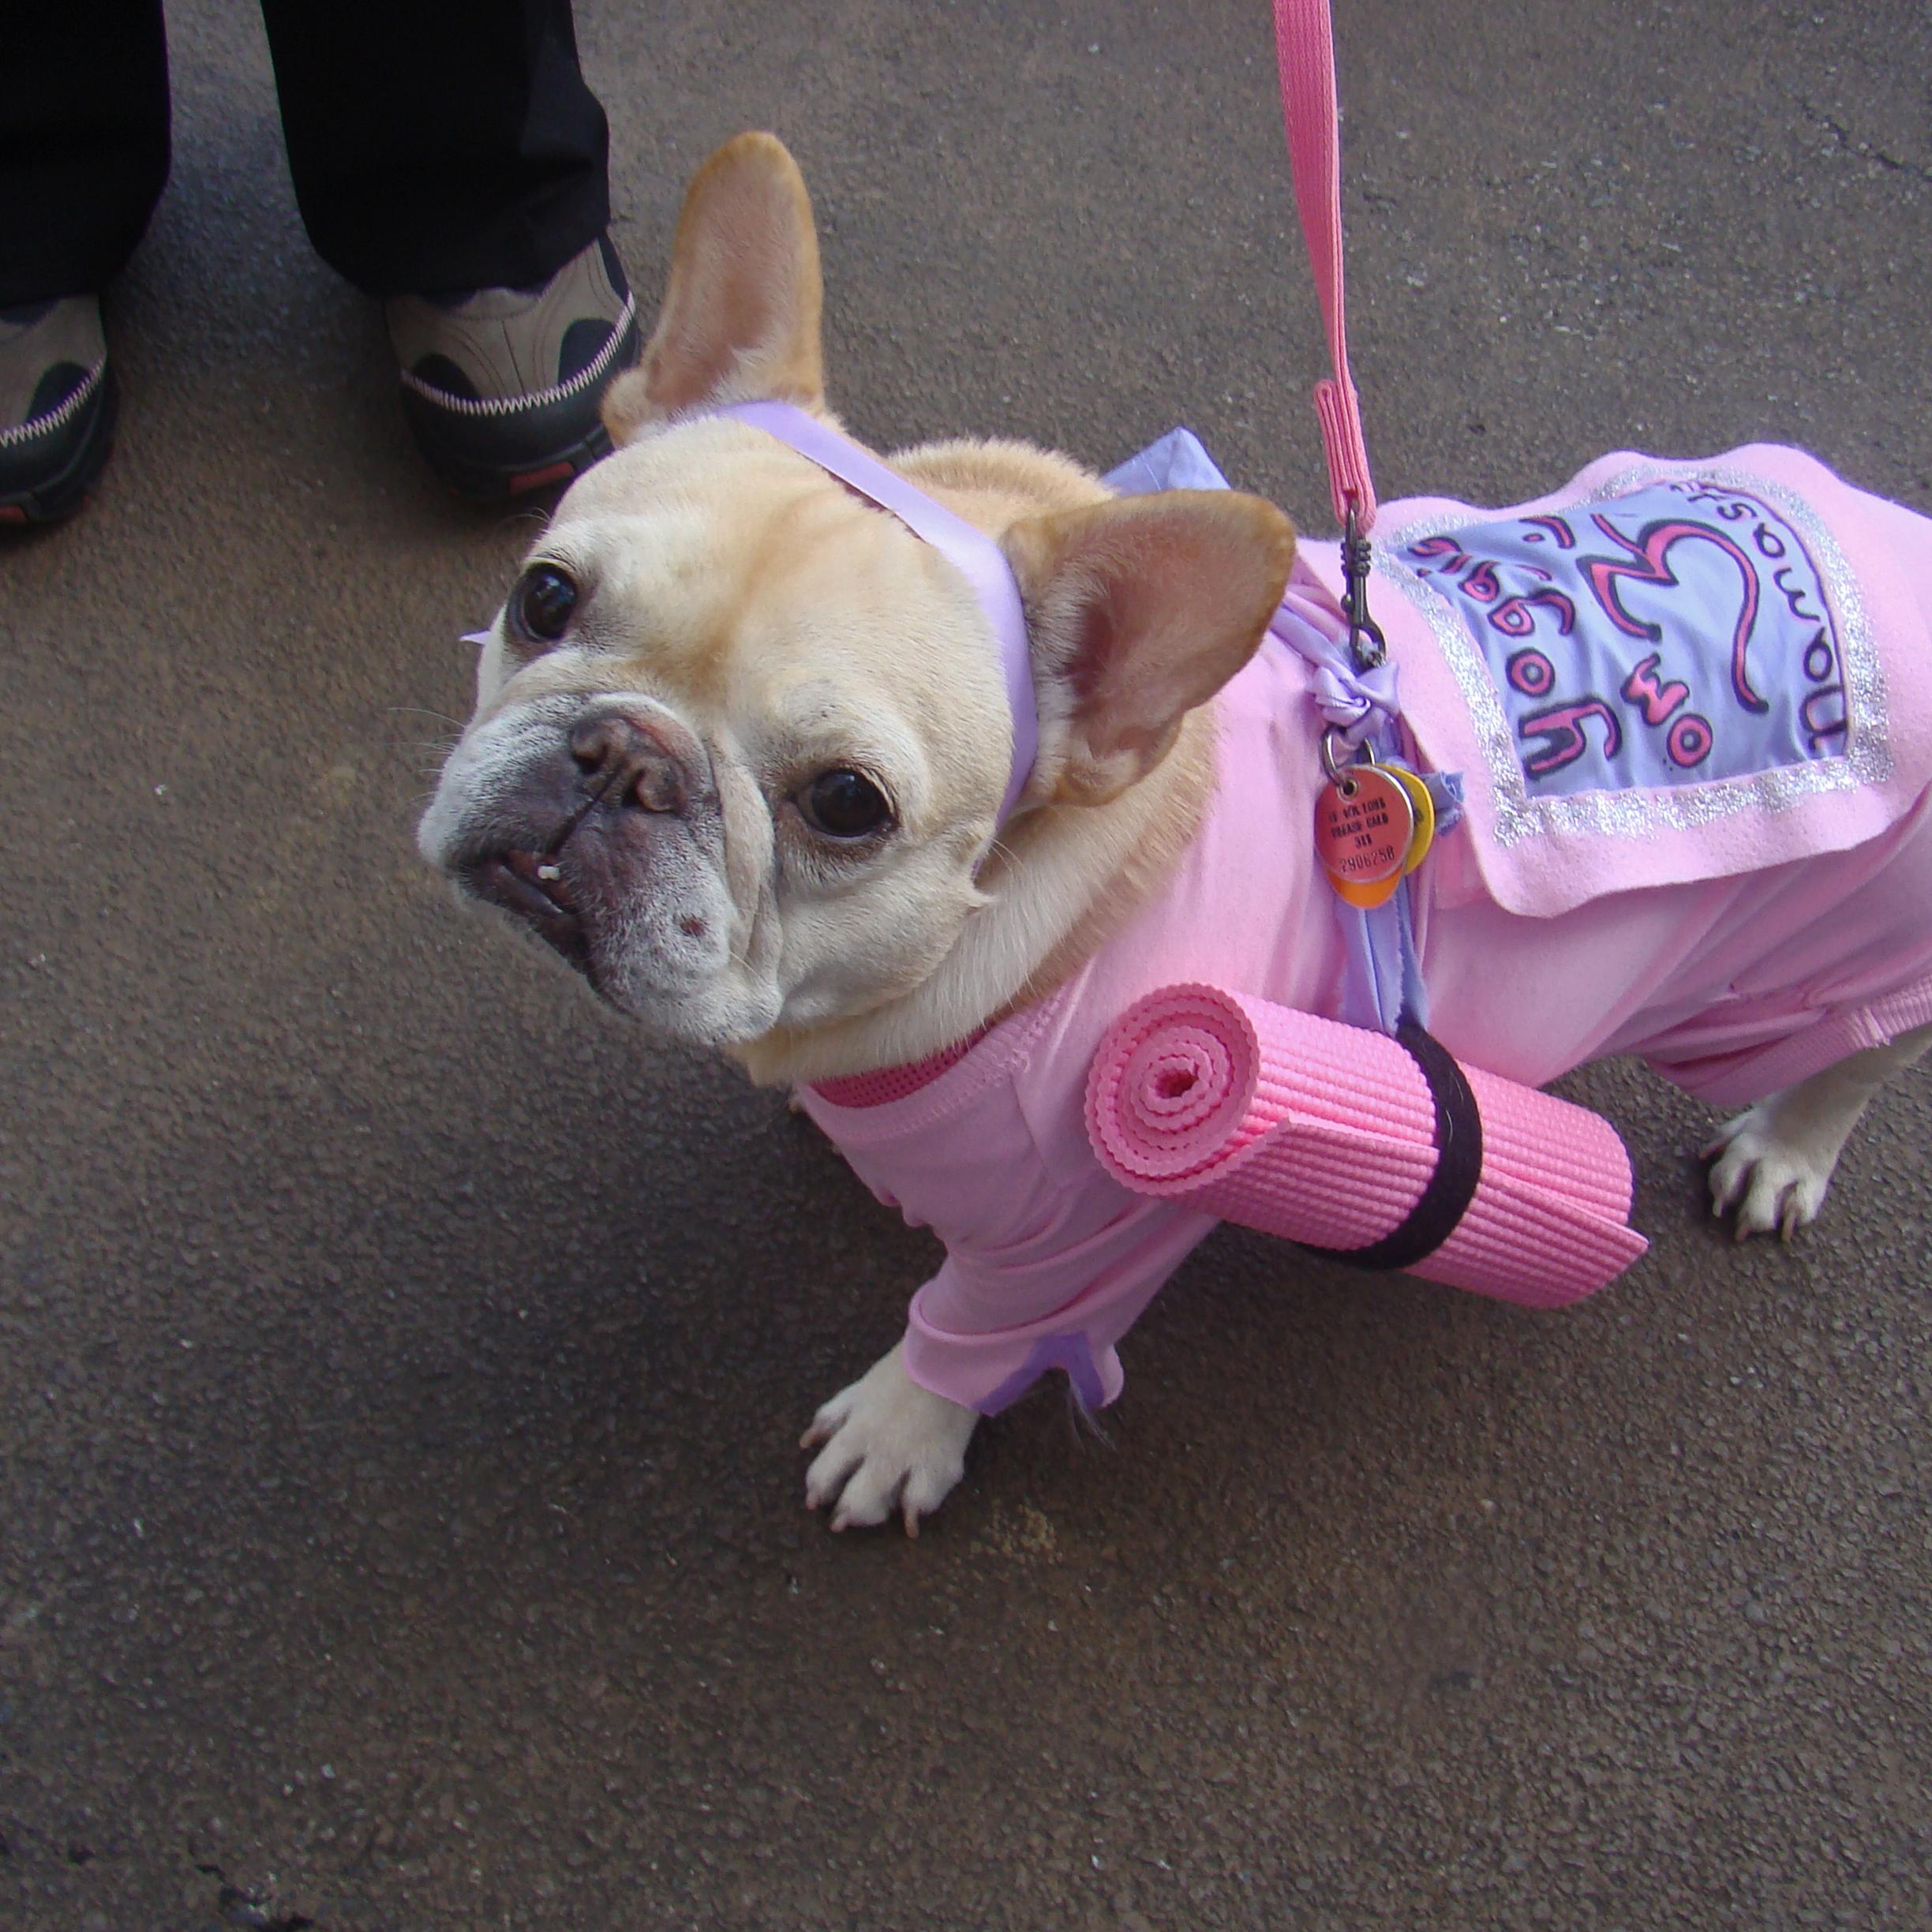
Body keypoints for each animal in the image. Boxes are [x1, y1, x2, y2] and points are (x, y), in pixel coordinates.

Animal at [423, 132, 1932, 1522]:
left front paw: (905, 1424)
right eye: (544, 597)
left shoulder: (1069, 1235)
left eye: (845, 804)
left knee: (1857, 1050)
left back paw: (1783, 1151)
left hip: (1814, 965)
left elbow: (973, 1327)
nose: (622, 756)